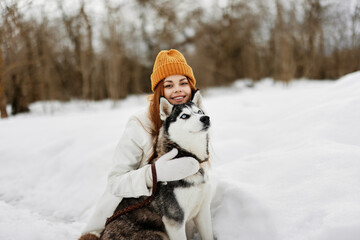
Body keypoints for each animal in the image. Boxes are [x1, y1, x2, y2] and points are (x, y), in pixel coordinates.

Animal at [100, 91, 214, 239]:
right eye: (184, 116)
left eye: (199, 112)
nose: (205, 118)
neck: (186, 155)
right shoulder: (175, 220)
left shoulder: (203, 210)